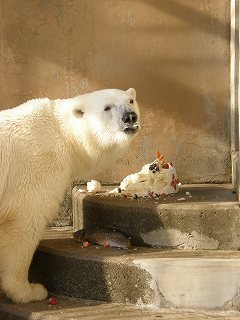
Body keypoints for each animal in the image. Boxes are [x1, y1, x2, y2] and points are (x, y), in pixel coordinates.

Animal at [0, 87, 140, 302]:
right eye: (107, 107)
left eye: (131, 101)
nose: (129, 117)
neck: (61, 132)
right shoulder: (39, 167)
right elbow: (25, 225)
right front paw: (30, 291)